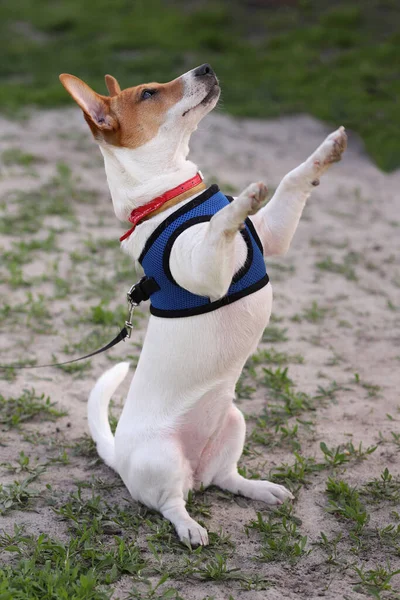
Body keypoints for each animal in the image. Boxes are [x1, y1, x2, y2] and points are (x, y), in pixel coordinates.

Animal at [60, 63, 346, 548]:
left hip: (234, 422)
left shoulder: (272, 236)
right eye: (149, 93)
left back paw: (261, 489)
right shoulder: (209, 273)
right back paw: (190, 527)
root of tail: (120, 453)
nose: (206, 68)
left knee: (225, 479)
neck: (171, 197)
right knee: (170, 503)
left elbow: (292, 179)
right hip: (164, 460)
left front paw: (326, 151)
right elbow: (221, 223)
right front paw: (242, 198)